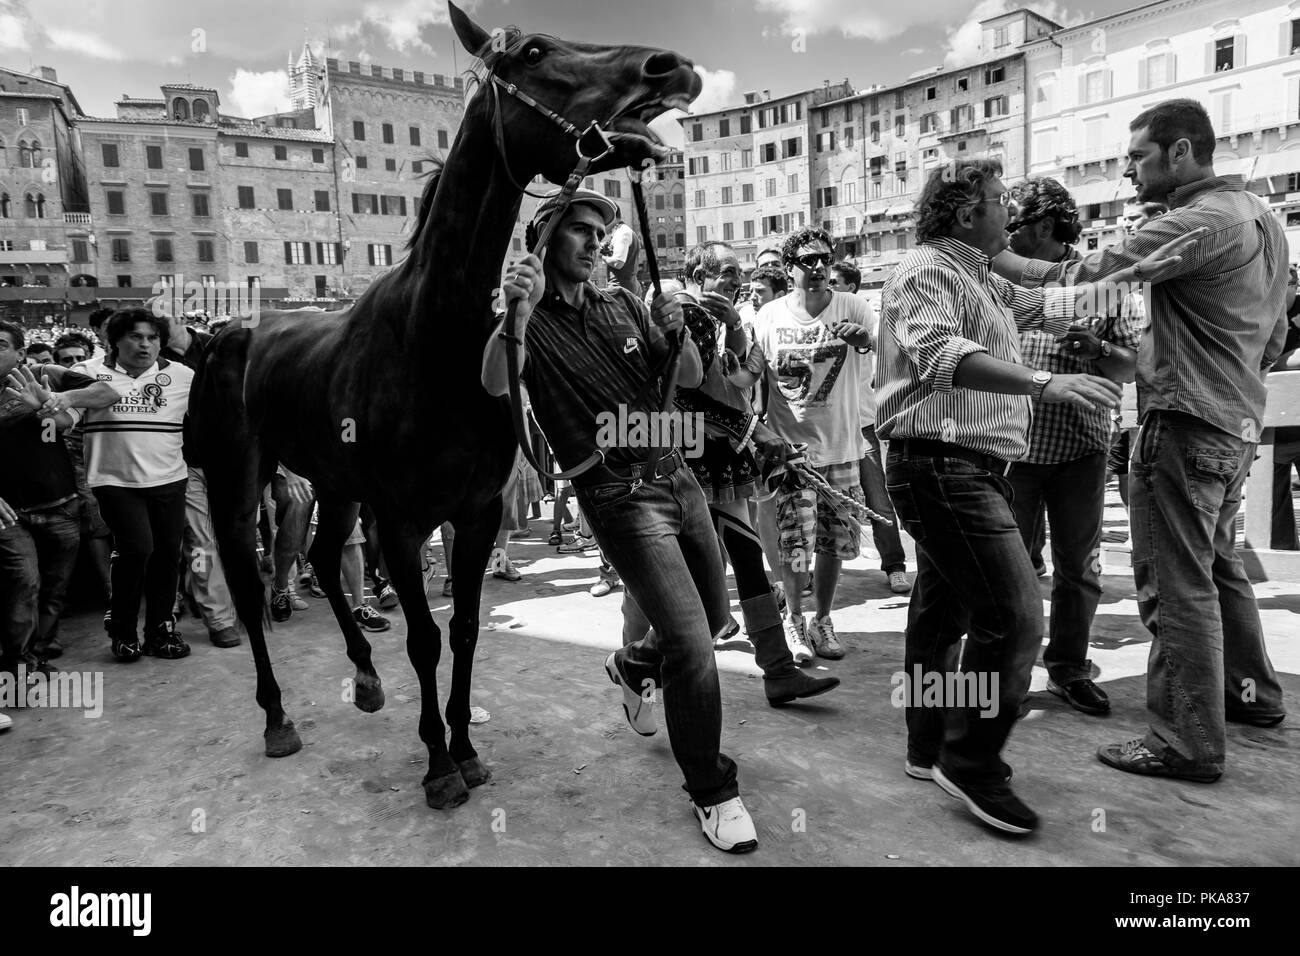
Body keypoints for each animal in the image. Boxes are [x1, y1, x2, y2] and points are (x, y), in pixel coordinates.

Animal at [187, 3, 702, 806]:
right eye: (533, 51)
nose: (668, 66)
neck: (435, 336)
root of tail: (219, 337)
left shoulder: (476, 509)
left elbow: (462, 629)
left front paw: (464, 747)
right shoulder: (402, 521)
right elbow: (425, 638)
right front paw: (437, 763)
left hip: (335, 482)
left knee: (327, 557)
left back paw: (365, 677)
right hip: (238, 480)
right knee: (247, 579)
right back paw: (277, 716)